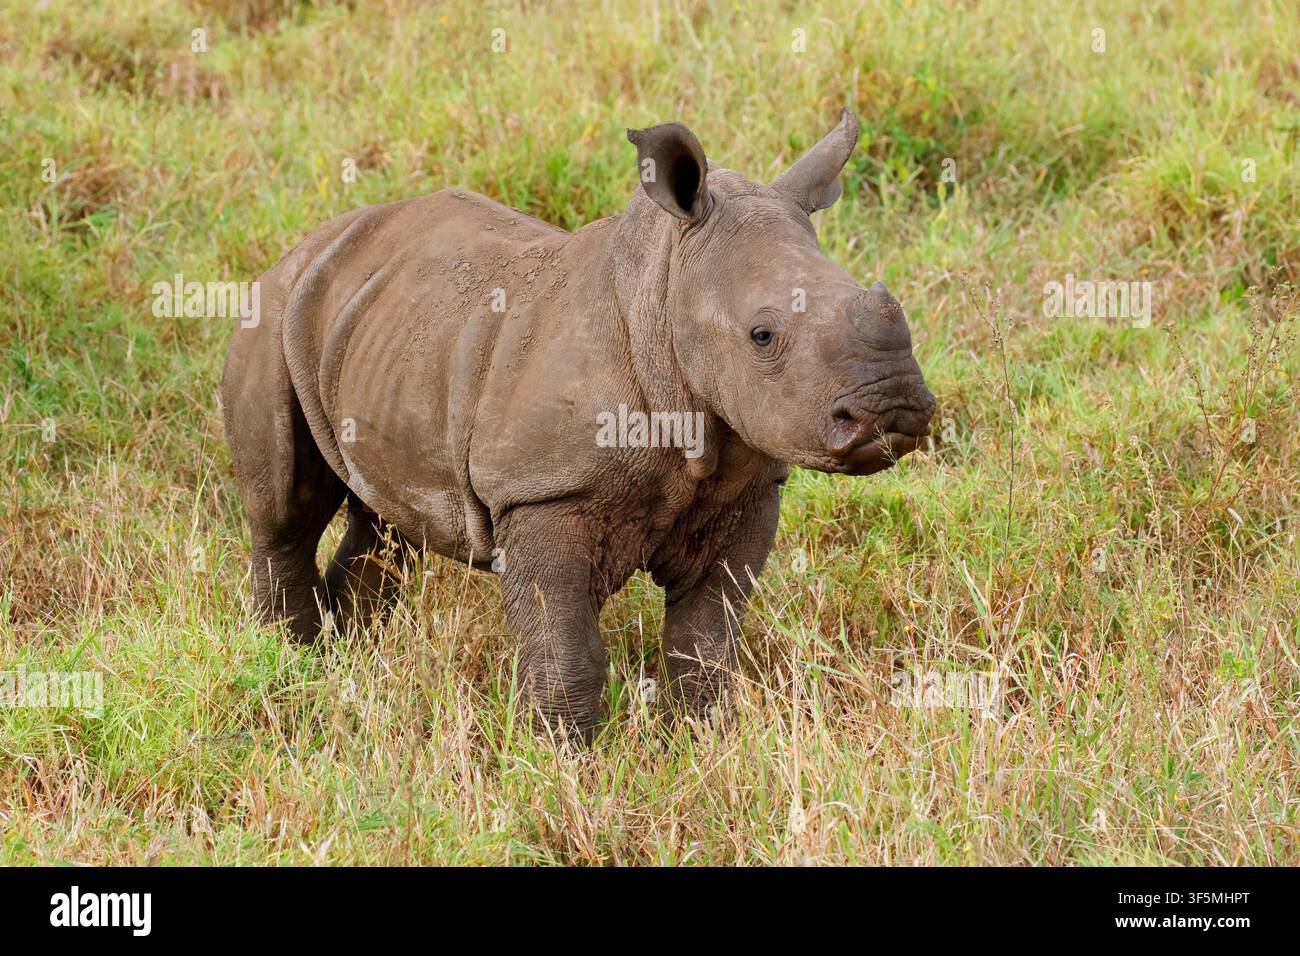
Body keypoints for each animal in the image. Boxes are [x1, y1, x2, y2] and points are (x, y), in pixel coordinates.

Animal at [221, 108, 936, 739]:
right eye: (763, 335)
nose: (894, 408)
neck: (662, 294)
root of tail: (313, 240)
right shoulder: (543, 489)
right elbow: (565, 648)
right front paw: (562, 757)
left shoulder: (750, 486)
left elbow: (705, 641)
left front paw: (703, 740)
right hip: (276, 307)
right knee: (286, 508)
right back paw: (289, 663)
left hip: (389, 330)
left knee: (388, 519)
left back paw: (350, 655)